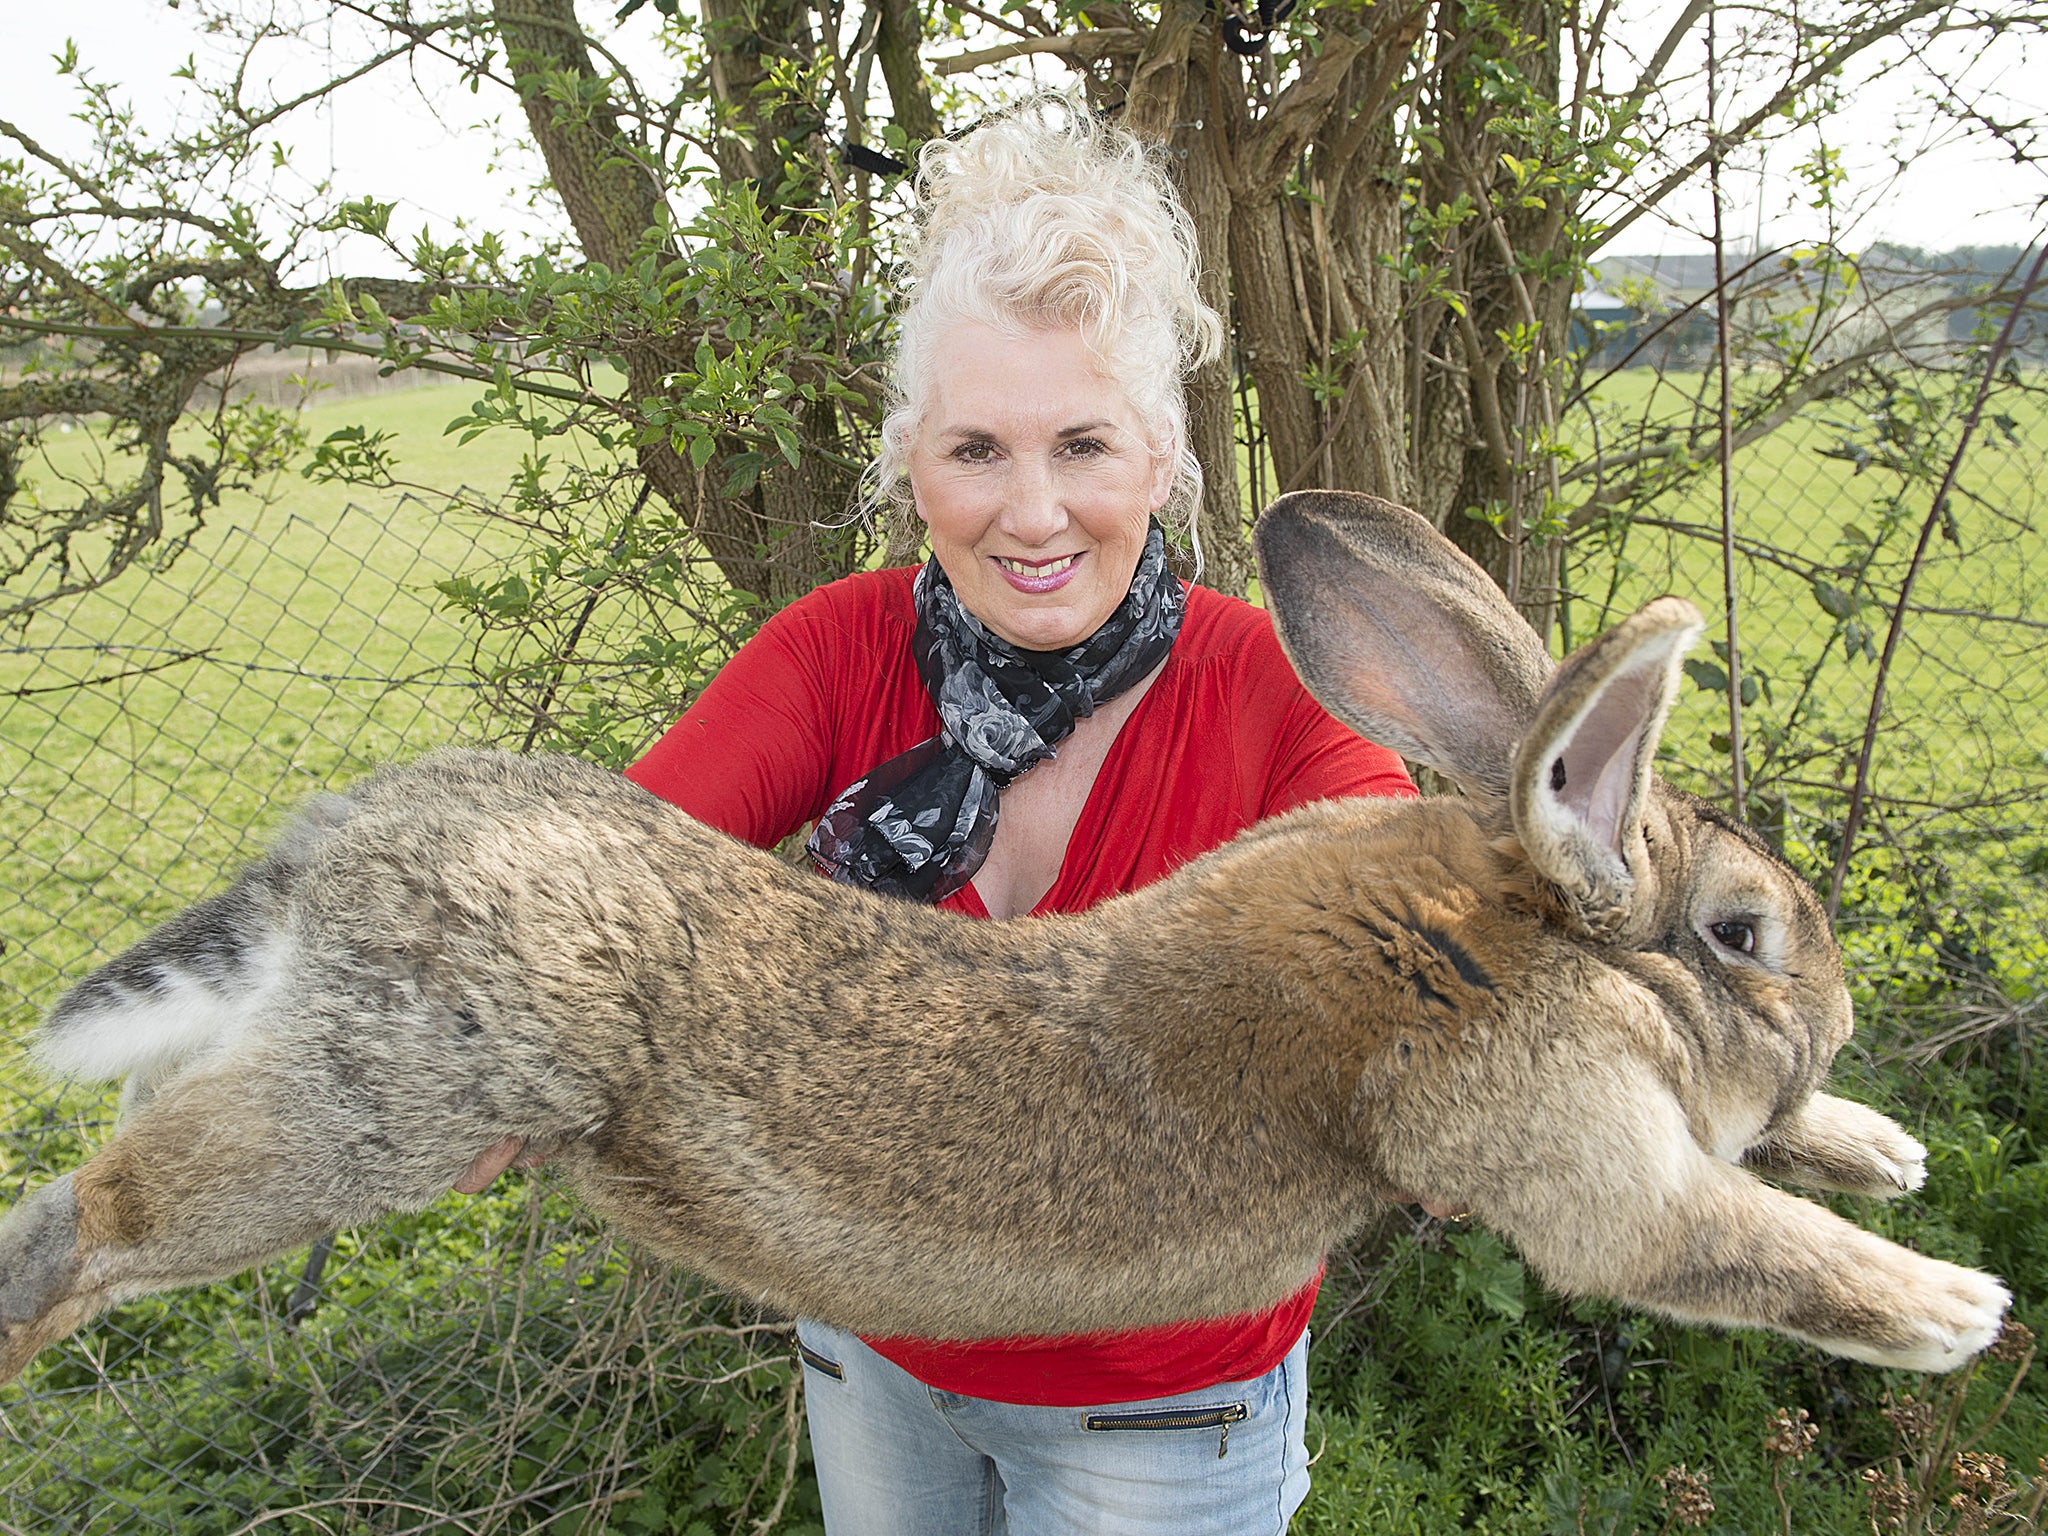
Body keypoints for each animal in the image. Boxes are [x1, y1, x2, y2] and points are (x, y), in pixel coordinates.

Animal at [0, 493, 2007, 1384]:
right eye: (1742, 932)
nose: (1836, 1017)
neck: (1521, 929)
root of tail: (327, 852)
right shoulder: (1571, 1148)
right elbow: (1723, 1238)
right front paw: (1950, 1308)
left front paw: (1880, 1146)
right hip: (385, 1111)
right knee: (99, 1217)